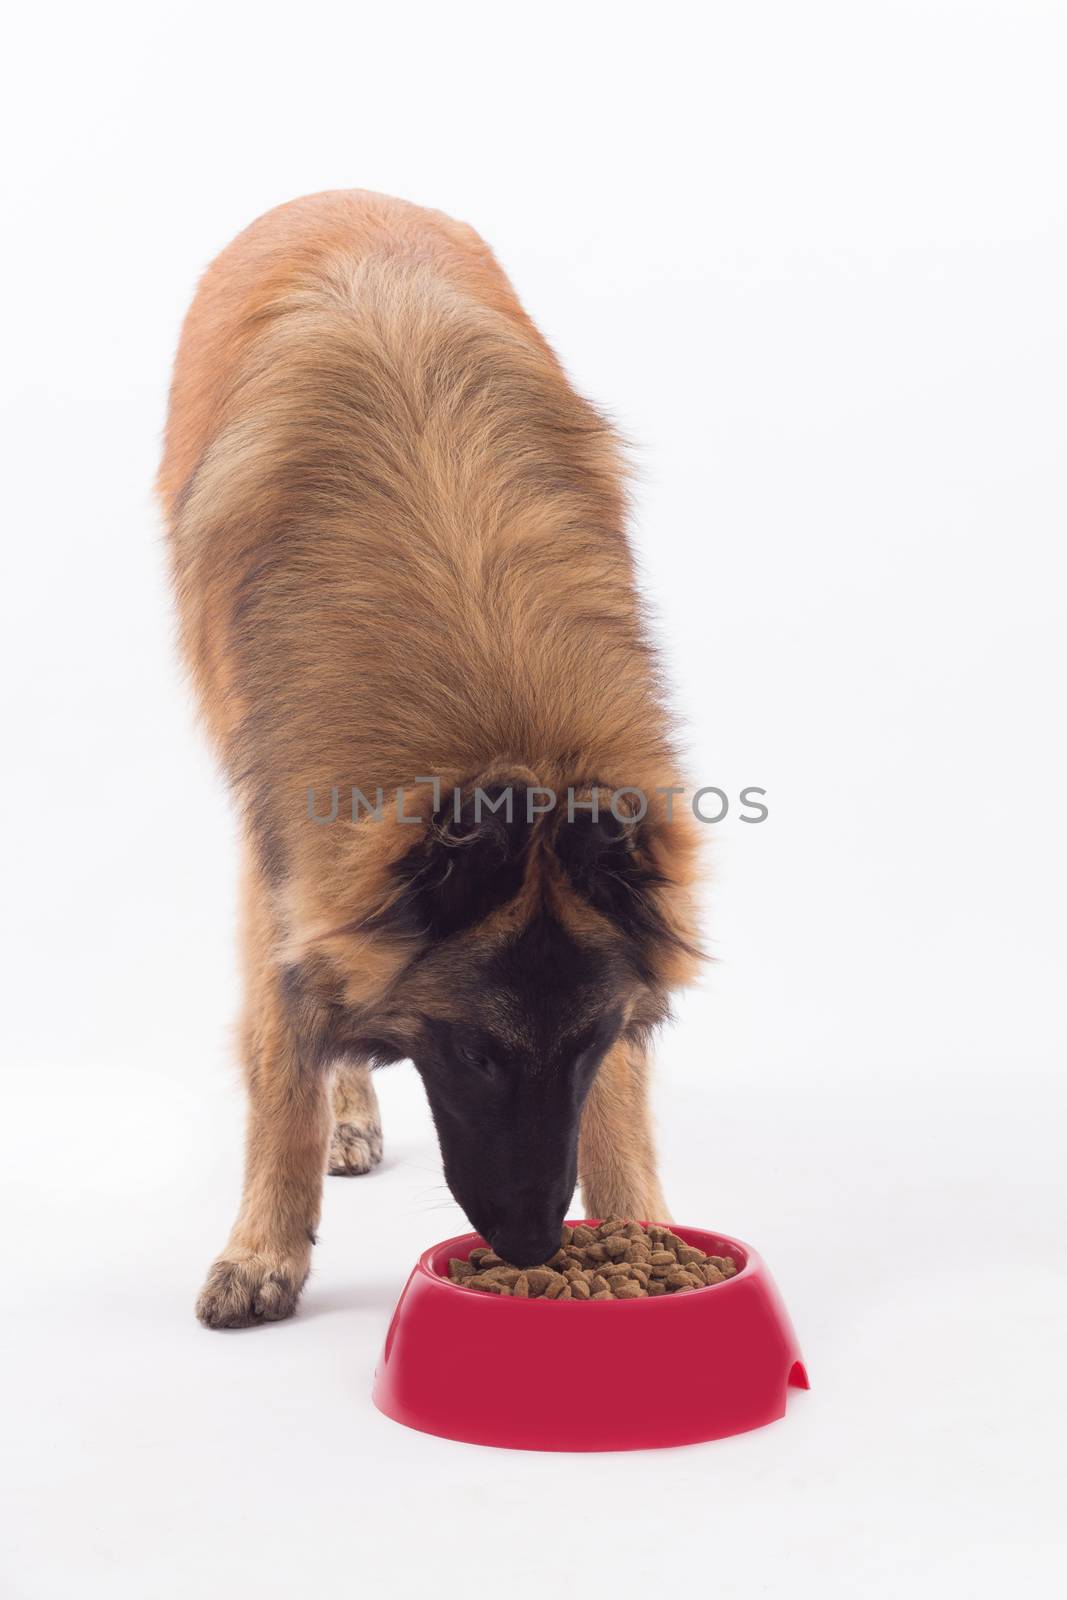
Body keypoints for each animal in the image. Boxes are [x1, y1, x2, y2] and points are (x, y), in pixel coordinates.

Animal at [158, 193, 703, 1331]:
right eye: (472, 1052)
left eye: (586, 1043)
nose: (535, 1244)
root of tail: (339, 195)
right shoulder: (289, 849)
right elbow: (282, 1044)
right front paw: (264, 1245)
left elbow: (624, 1088)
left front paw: (641, 1222)